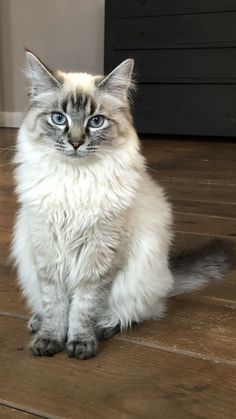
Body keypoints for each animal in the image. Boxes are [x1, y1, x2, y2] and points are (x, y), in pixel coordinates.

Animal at [11, 51, 236, 360]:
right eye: (59, 119)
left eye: (96, 121)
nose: (76, 142)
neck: (75, 179)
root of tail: (168, 273)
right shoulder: (47, 250)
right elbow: (55, 304)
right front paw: (49, 339)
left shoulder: (100, 256)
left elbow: (83, 307)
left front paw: (80, 343)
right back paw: (37, 321)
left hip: (137, 280)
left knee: (135, 313)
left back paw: (104, 328)